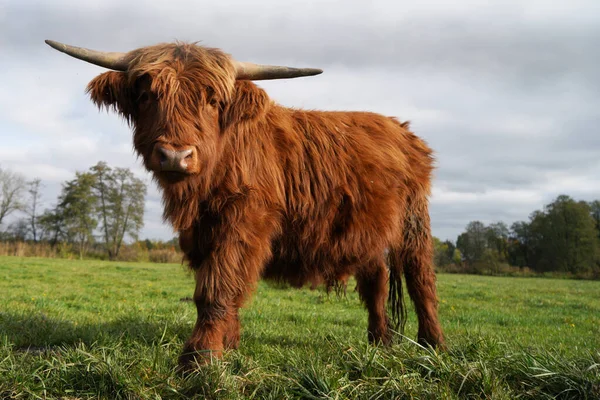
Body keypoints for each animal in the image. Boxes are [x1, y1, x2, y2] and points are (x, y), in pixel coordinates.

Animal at [45, 39, 446, 368]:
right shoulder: (201, 233)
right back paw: (380, 342)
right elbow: (221, 284)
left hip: (414, 219)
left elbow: (217, 286)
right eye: (146, 96)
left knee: (421, 279)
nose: (175, 155)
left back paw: (433, 345)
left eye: (213, 100)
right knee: (376, 281)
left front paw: (201, 356)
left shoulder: (244, 221)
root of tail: (402, 129)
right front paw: (230, 345)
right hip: (367, 233)